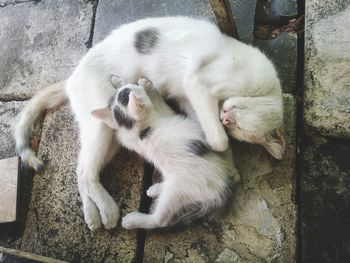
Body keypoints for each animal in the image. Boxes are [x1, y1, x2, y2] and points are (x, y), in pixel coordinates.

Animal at [92, 78, 241, 229]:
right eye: (128, 91)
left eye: (124, 91)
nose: (131, 84)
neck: (138, 129)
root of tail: (221, 191)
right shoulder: (169, 115)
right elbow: (161, 104)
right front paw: (148, 87)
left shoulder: (124, 136)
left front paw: (118, 81)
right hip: (177, 191)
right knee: (160, 220)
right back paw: (133, 220)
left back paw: (154, 189)